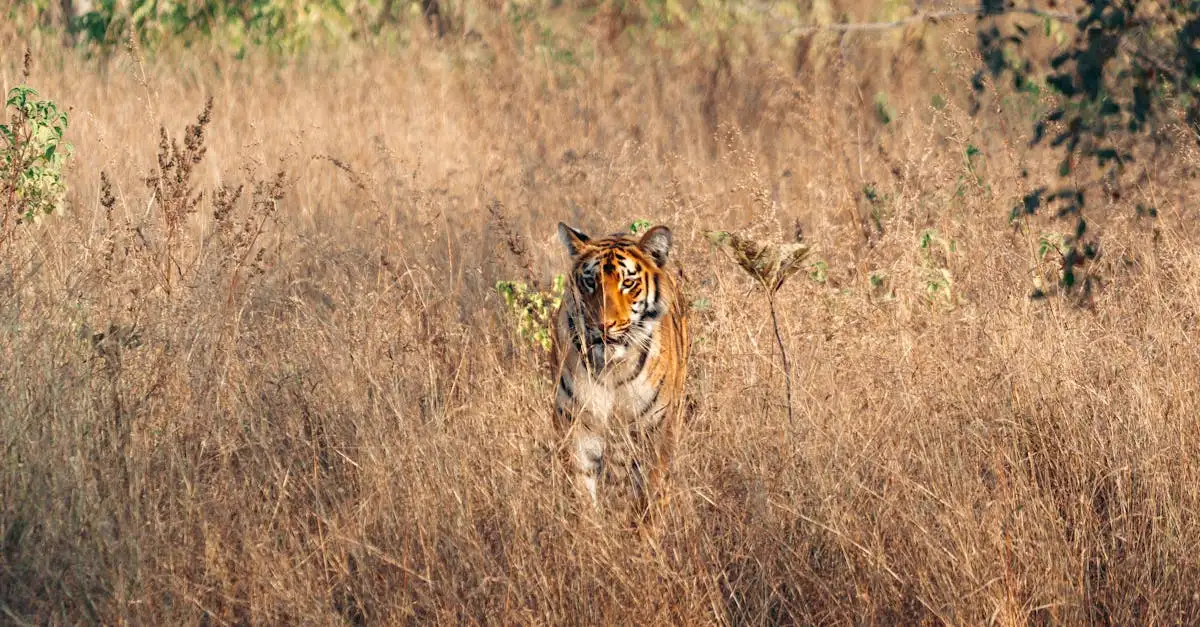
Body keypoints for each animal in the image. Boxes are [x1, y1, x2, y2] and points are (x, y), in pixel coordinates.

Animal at [550, 222, 690, 519]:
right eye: (590, 282)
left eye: (628, 283)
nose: (604, 325)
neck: (612, 369)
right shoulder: (577, 433)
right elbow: (583, 502)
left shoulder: (655, 436)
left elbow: (648, 503)